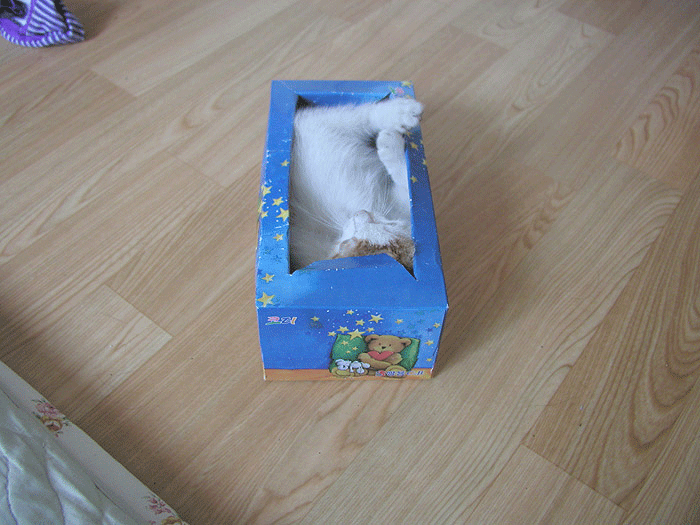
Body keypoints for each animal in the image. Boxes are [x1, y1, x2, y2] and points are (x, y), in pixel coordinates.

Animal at [288, 96, 423, 273]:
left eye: (390, 226)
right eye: (346, 243)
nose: (362, 213)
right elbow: (405, 182)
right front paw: (392, 147)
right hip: (317, 124)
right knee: (356, 116)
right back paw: (398, 113)